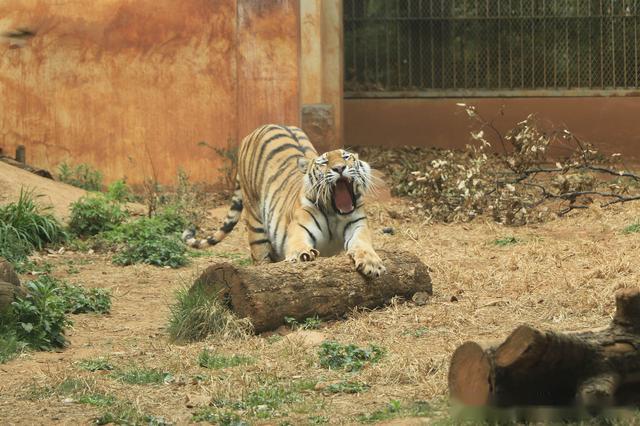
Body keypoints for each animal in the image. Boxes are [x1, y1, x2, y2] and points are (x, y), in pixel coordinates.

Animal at [185, 124, 384, 276]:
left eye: (346, 157)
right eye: (324, 163)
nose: (340, 168)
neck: (334, 212)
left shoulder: (357, 225)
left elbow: (362, 244)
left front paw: (372, 263)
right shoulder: (299, 228)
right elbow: (298, 244)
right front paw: (303, 255)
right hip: (255, 222)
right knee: (260, 257)